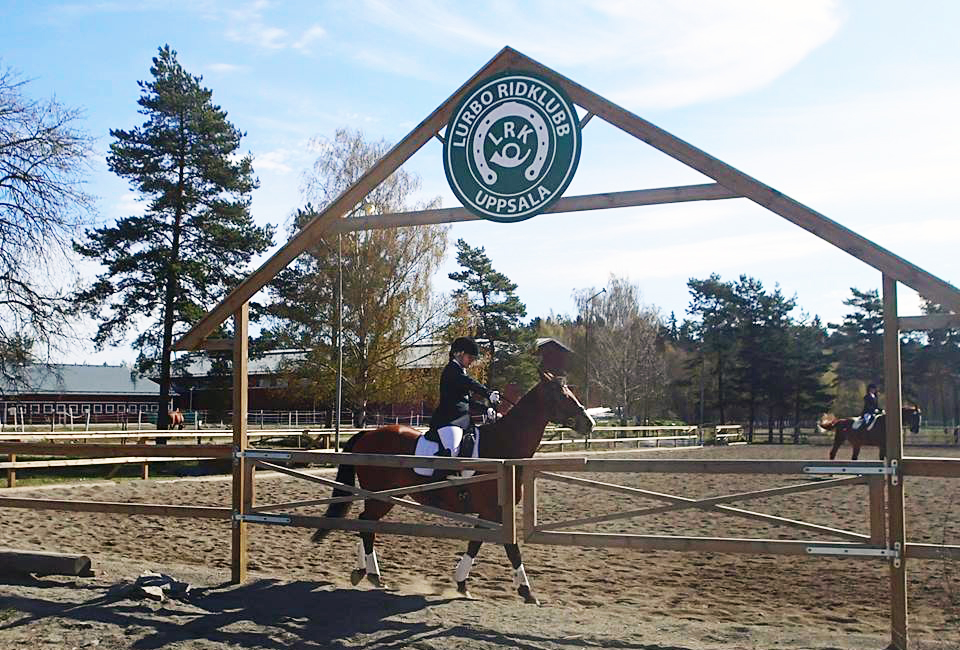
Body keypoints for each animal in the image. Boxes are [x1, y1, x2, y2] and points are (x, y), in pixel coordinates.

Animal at [310, 370, 592, 604]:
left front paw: (462, 584)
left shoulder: (489, 514)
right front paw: (527, 591)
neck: (503, 449)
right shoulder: (495, 511)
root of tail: (368, 434)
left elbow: (475, 544)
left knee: (366, 523)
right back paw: (374, 575)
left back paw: (362, 572)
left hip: (382, 497)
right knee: (366, 524)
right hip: (380, 496)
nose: (589, 423)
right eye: (562, 396)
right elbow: (512, 550)